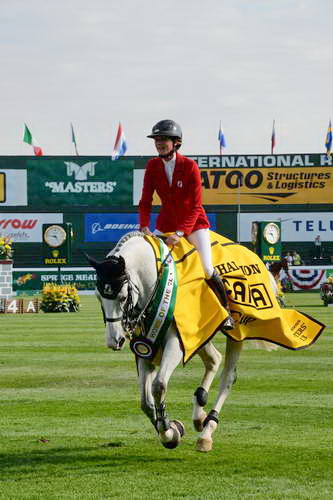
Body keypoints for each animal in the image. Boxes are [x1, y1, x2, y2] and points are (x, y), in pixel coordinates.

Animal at [87, 230, 276, 454]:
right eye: (99, 297)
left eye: (123, 297)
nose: (114, 341)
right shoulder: (145, 347)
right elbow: (146, 402)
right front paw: (171, 428)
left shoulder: (177, 343)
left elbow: (159, 386)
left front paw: (168, 433)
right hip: (200, 335)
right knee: (214, 359)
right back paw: (199, 414)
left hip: (236, 333)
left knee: (228, 377)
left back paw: (207, 433)